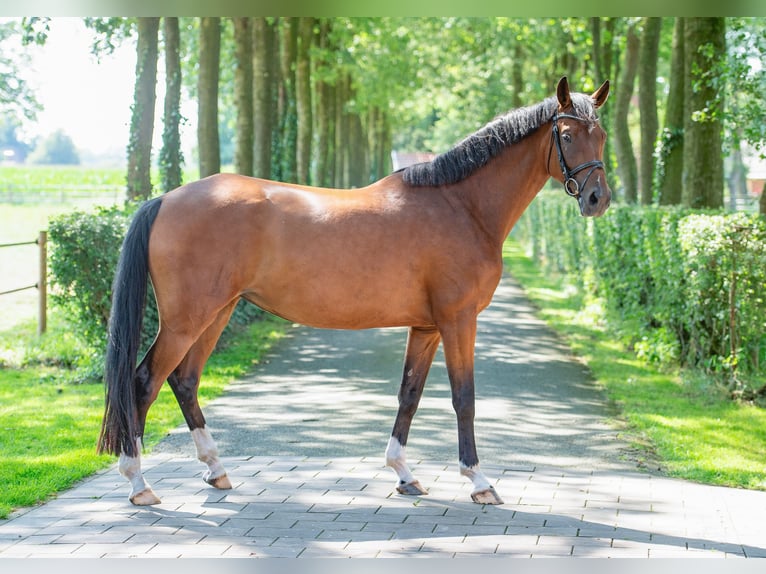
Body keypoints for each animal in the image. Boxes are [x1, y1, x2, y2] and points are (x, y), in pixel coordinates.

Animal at [97, 74, 612, 506]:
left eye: (602, 135)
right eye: (567, 136)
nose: (597, 199)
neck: (461, 205)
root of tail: (166, 199)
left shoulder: (426, 327)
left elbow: (410, 394)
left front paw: (404, 474)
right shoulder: (458, 320)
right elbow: (463, 397)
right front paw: (479, 481)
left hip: (217, 312)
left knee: (184, 381)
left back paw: (216, 470)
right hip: (187, 319)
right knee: (143, 383)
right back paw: (139, 483)